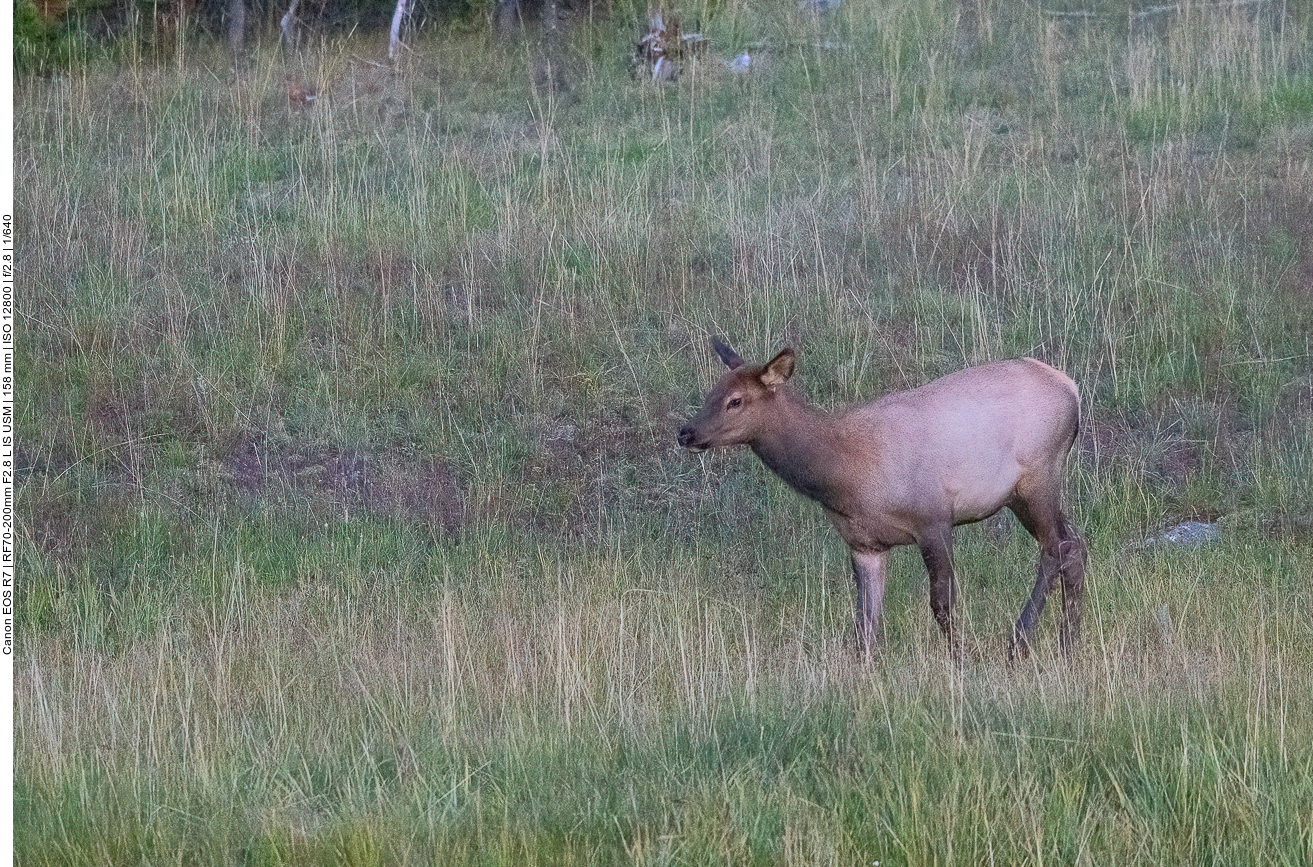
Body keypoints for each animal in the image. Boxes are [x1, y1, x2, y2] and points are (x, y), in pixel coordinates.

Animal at [677, 338, 1087, 656]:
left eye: (735, 401)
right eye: (711, 392)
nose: (686, 432)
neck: (846, 478)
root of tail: (1073, 390)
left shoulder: (933, 518)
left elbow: (942, 604)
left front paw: (963, 659)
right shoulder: (865, 544)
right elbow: (865, 624)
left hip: (1038, 478)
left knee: (1058, 547)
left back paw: (1022, 641)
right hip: (1024, 494)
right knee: (1075, 544)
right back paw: (1067, 644)